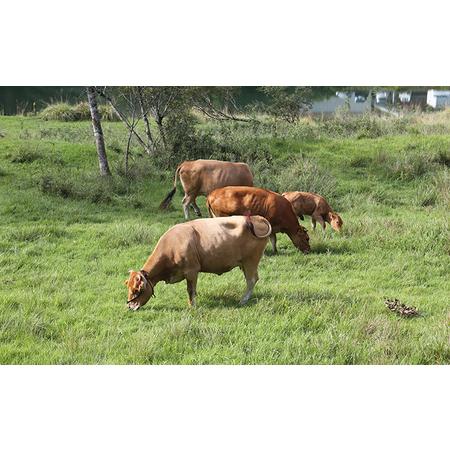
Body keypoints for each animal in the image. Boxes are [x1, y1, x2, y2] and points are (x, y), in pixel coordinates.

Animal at [124, 215, 270, 310]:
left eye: (137, 290)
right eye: (129, 288)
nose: (130, 306)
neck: (172, 245)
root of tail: (255, 218)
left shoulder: (192, 271)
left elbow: (190, 290)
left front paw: (192, 306)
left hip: (251, 261)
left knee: (251, 280)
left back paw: (243, 300)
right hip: (245, 263)